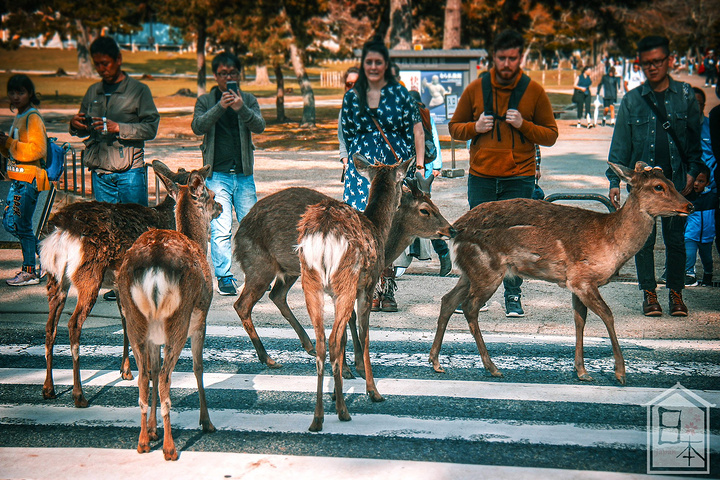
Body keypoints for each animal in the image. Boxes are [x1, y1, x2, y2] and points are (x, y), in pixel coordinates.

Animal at [39, 159, 190, 406]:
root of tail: (61, 230)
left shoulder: (120, 284)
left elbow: (125, 321)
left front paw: (126, 371)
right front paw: (145, 371)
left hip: (56, 276)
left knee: (50, 325)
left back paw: (48, 388)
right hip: (89, 273)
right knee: (73, 324)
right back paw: (79, 395)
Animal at [116, 166, 222, 462]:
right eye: (211, 195)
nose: (221, 207)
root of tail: (153, 264)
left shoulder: (154, 337)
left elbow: (151, 371)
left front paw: (152, 429)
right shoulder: (201, 319)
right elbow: (198, 367)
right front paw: (206, 422)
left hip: (135, 320)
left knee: (144, 376)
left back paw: (143, 441)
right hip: (179, 319)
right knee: (165, 378)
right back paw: (170, 447)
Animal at [233, 172, 452, 376]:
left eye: (435, 204)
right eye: (425, 210)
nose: (451, 229)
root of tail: (238, 232)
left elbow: (352, 317)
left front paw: (355, 362)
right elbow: (351, 318)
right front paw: (351, 365)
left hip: (289, 269)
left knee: (276, 295)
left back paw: (309, 346)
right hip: (259, 264)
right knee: (242, 304)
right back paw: (268, 358)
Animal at [296, 154, 414, 432]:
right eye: (403, 182)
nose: (408, 193)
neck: (378, 227)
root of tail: (324, 234)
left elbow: (347, 336)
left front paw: (341, 383)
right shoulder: (367, 287)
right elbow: (365, 335)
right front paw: (373, 391)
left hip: (311, 281)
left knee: (321, 342)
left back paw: (317, 418)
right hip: (346, 278)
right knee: (331, 340)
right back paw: (342, 411)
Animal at [430, 162, 696, 386]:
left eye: (672, 180)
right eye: (658, 186)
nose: (689, 205)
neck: (610, 242)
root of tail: (455, 229)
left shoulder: (574, 283)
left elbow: (580, 320)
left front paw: (582, 371)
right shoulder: (582, 278)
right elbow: (608, 315)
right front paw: (620, 373)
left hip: (470, 272)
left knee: (448, 300)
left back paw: (435, 362)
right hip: (488, 270)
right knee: (469, 306)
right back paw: (492, 367)